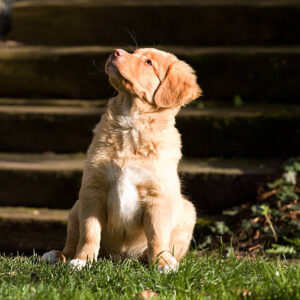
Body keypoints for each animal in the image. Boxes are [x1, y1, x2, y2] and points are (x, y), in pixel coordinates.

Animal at [41, 47, 202, 272]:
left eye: (149, 62)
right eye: (134, 52)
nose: (115, 52)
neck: (131, 122)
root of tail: (121, 258)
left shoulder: (157, 195)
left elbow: (157, 235)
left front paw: (161, 262)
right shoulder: (93, 189)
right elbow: (89, 232)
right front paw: (82, 261)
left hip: (188, 212)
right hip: (75, 209)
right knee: (72, 241)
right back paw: (57, 255)